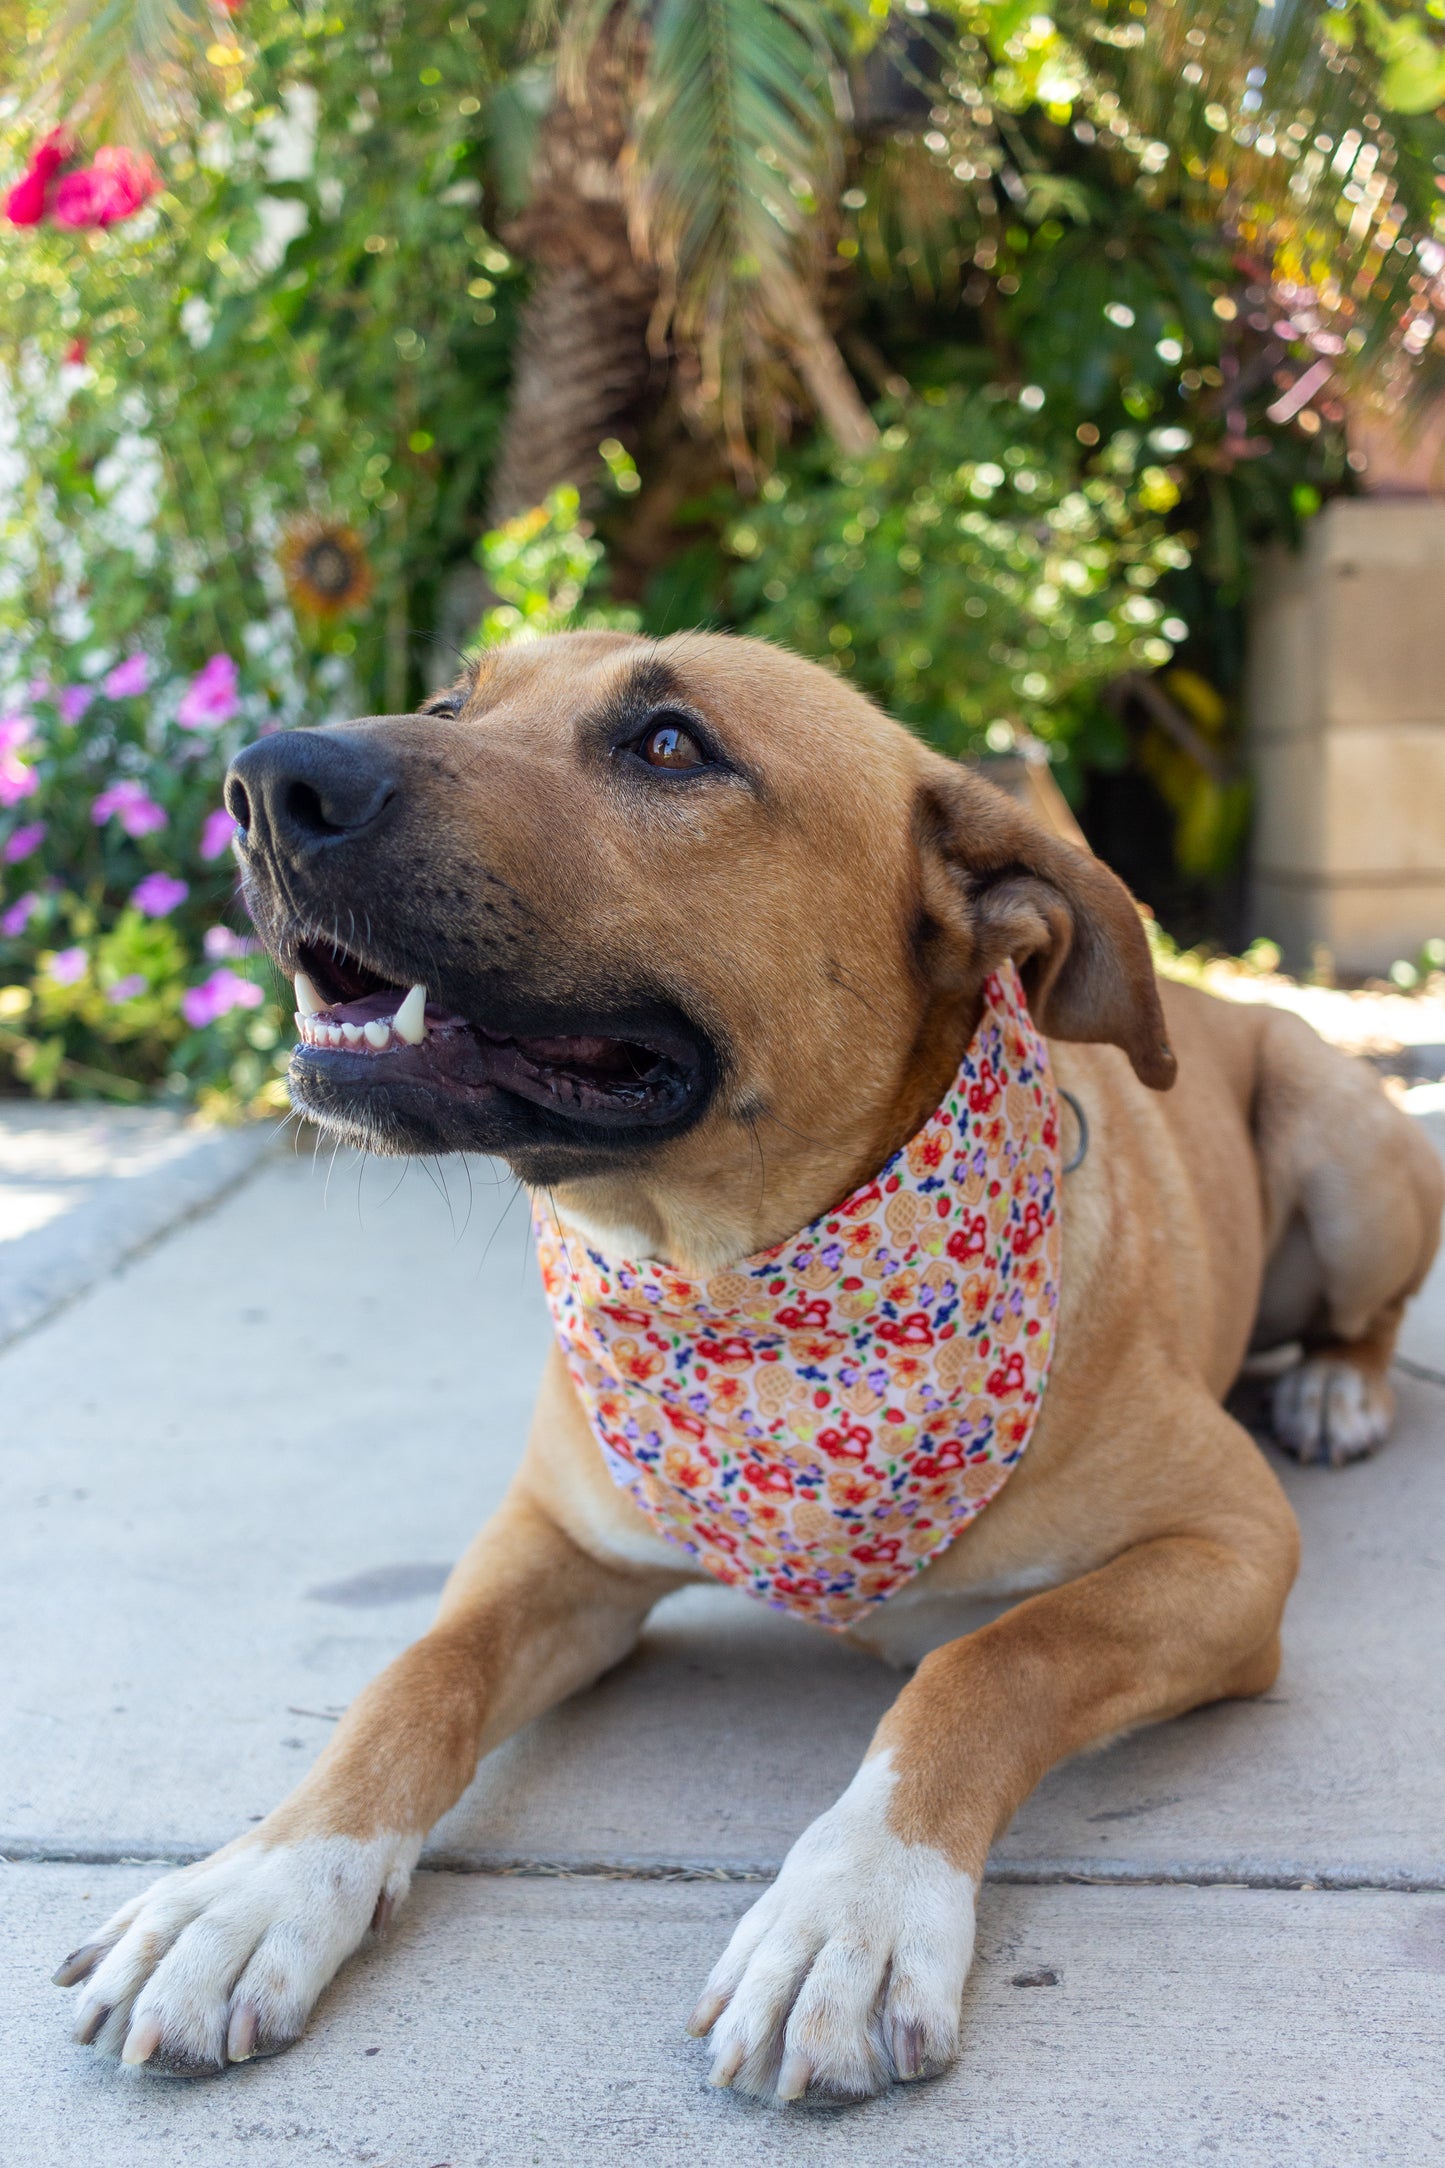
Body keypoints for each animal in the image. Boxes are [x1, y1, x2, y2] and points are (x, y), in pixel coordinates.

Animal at [53, 637, 1438, 2098]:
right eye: (449, 705)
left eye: (671, 744)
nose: (264, 783)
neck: (735, 1282)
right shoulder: (553, 1544)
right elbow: (411, 1679)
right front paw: (254, 1885)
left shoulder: (1230, 1545)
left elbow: (991, 1658)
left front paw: (856, 1901)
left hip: (1350, 1159)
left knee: (1366, 1312)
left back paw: (1336, 1384)